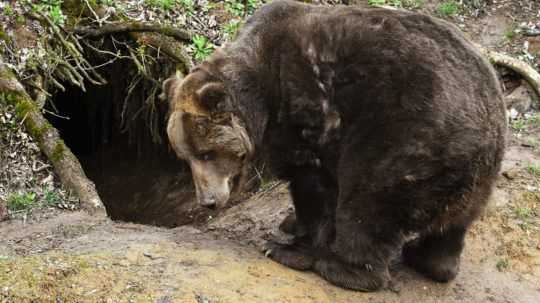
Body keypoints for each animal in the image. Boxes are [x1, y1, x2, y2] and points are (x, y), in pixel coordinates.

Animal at [162, 0, 508, 294]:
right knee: (454, 224)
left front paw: (288, 246)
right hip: (473, 174)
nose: (207, 201)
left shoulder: (306, 113)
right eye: (185, 157)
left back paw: (340, 267)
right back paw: (430, 260)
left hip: (404, 142)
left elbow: (314, 186)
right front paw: (290, 224)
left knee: (367, 202)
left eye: (206, 153)